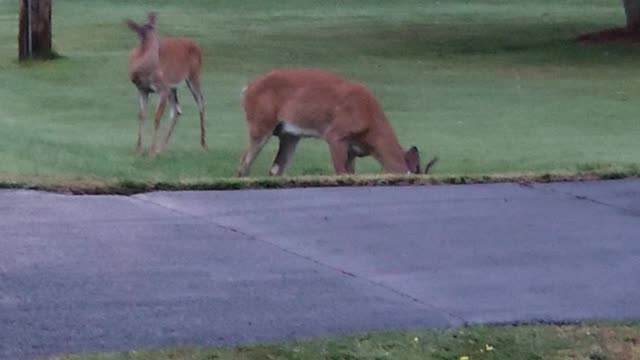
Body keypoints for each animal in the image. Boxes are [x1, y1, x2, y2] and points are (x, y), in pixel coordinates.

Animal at [125, 12, 205, 156]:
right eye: (142, 33)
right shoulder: (142, 89)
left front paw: (151, 151)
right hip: (173, 87)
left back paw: (203, 145)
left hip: (193, 76)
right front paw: (139, 149)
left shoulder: (162, 89)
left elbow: (157, 118)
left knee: (200, 102)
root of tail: (196, 45)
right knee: (177, 110)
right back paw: (161, 148)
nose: (157, 46)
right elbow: (141, 115)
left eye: (155, 30)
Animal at [238, 68, 438, 177]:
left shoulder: (352, 150)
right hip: (260, 123)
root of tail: (247, 88)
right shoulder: (335, 134)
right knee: (244, 163)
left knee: (276, 169)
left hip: (290, 134)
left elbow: (351, 174)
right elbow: (340, 172)